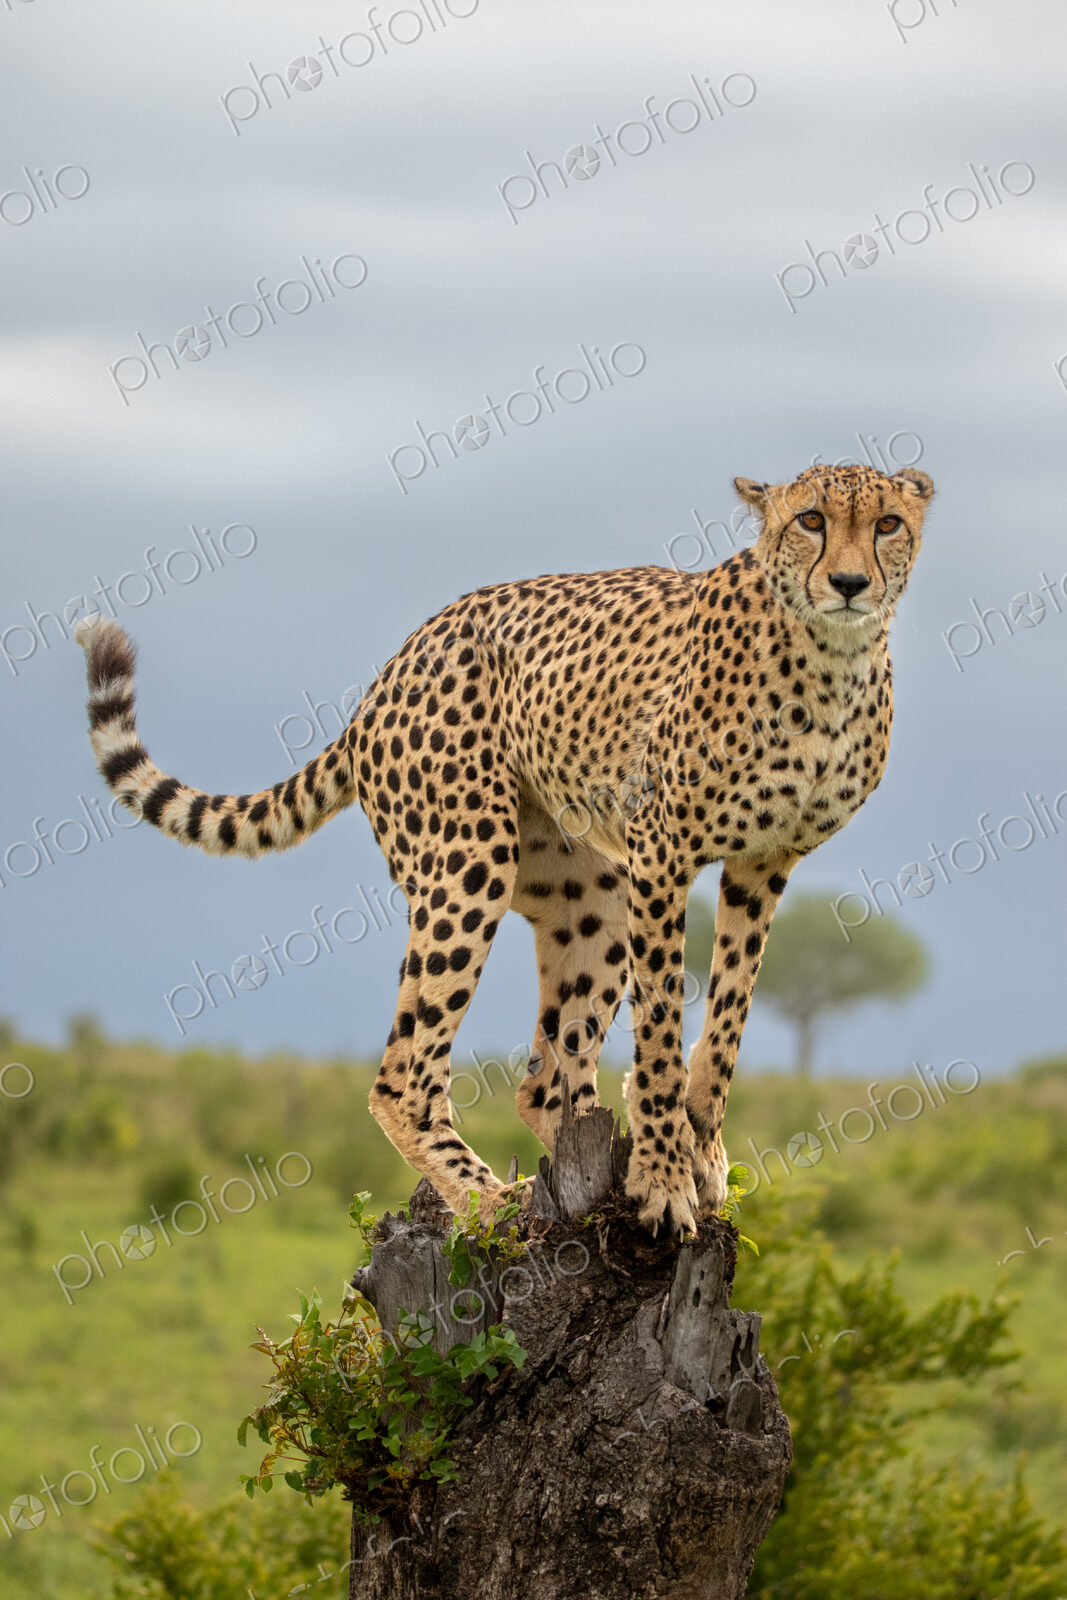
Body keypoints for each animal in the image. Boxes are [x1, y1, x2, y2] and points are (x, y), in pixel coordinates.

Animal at [74, 461, 933, 1236]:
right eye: (810, 520)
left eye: (887, 523)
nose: (849, 582)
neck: (830, 660)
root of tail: (393, 666)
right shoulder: (664, 853)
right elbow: (661, 1032)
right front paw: (663, 1181)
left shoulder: (763, 864)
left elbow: (725, 1023)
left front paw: (701, 1158)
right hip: (467, 863)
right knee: (404, 1077)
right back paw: (492, 1203)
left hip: (593, 896)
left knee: (544, 1081)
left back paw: (582, 1177)